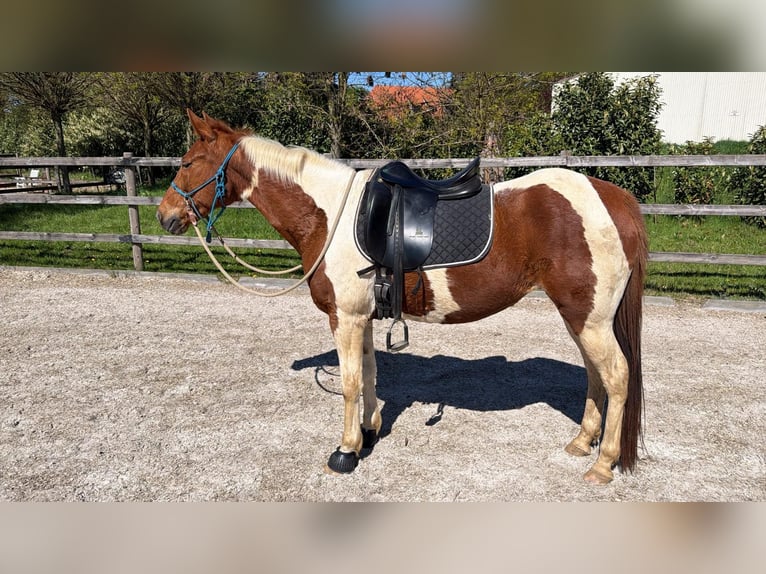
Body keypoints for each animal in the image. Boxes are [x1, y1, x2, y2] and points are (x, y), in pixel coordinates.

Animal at [157, 110, 648, 485]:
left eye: (188, 161)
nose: (164, 215)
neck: (329, 214)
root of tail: (612, 197)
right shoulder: (364, 316)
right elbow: (370, 374)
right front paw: (370, 432)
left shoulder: (345, 317)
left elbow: (350, 383)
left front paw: (345, 452)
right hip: (581, 317)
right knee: (595, 375)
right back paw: (582, 442)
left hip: (588, 318)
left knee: (617, 376)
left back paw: (603, 464)